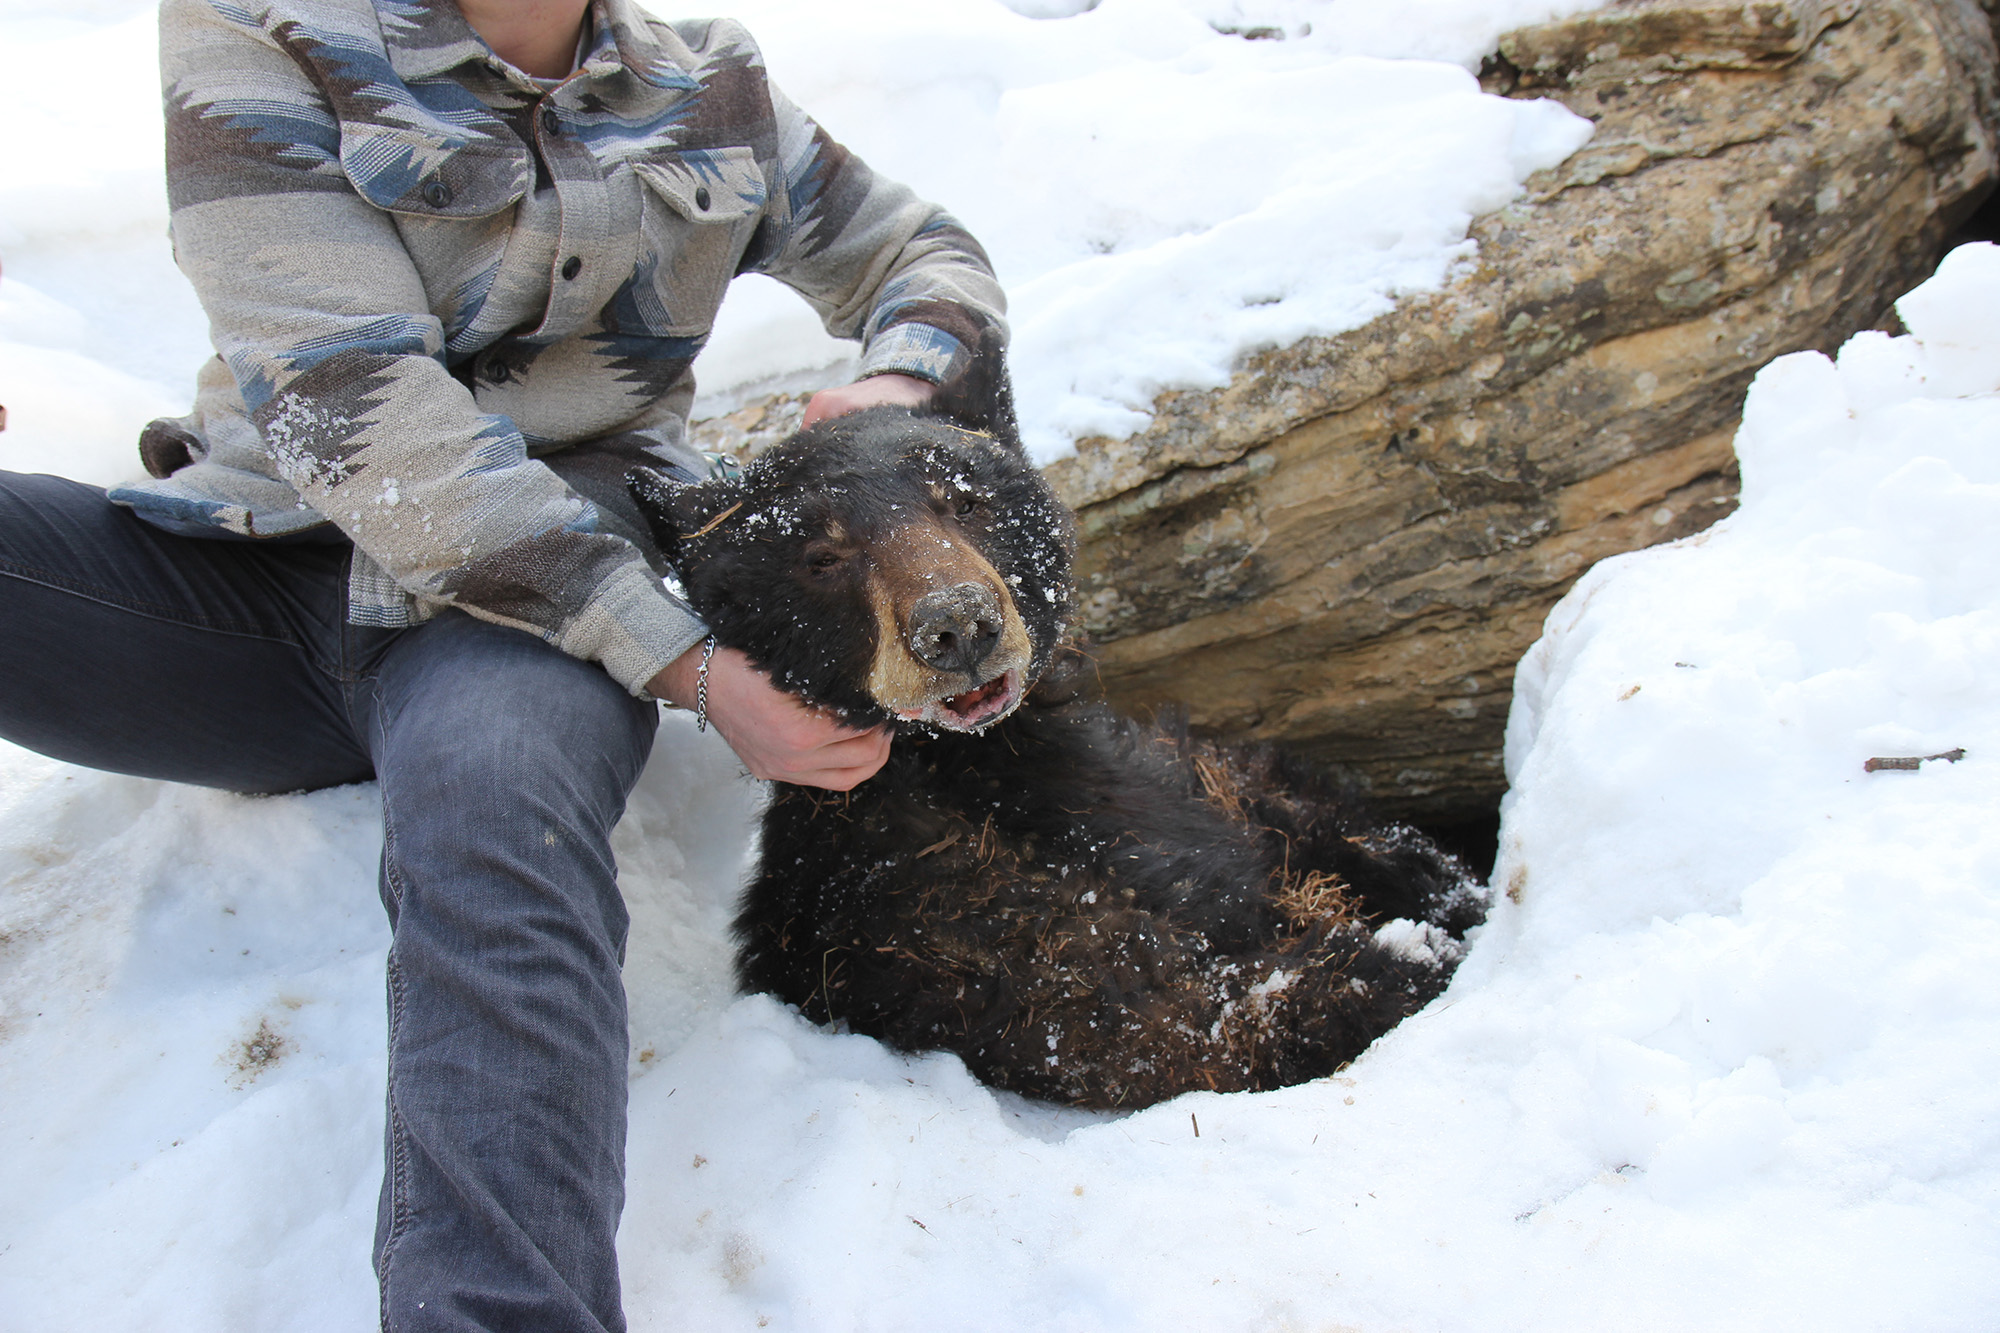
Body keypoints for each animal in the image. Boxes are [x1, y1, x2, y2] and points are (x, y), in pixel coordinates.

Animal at [628, 358, 1488, 1104]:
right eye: (821, 554)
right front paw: (1401, 962)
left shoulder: (1172, 783)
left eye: (963, 498)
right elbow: (1161, 1009)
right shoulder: (931, 914)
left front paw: (1435, 904)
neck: (976, 766)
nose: (957, 625)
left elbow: (1306, 841)